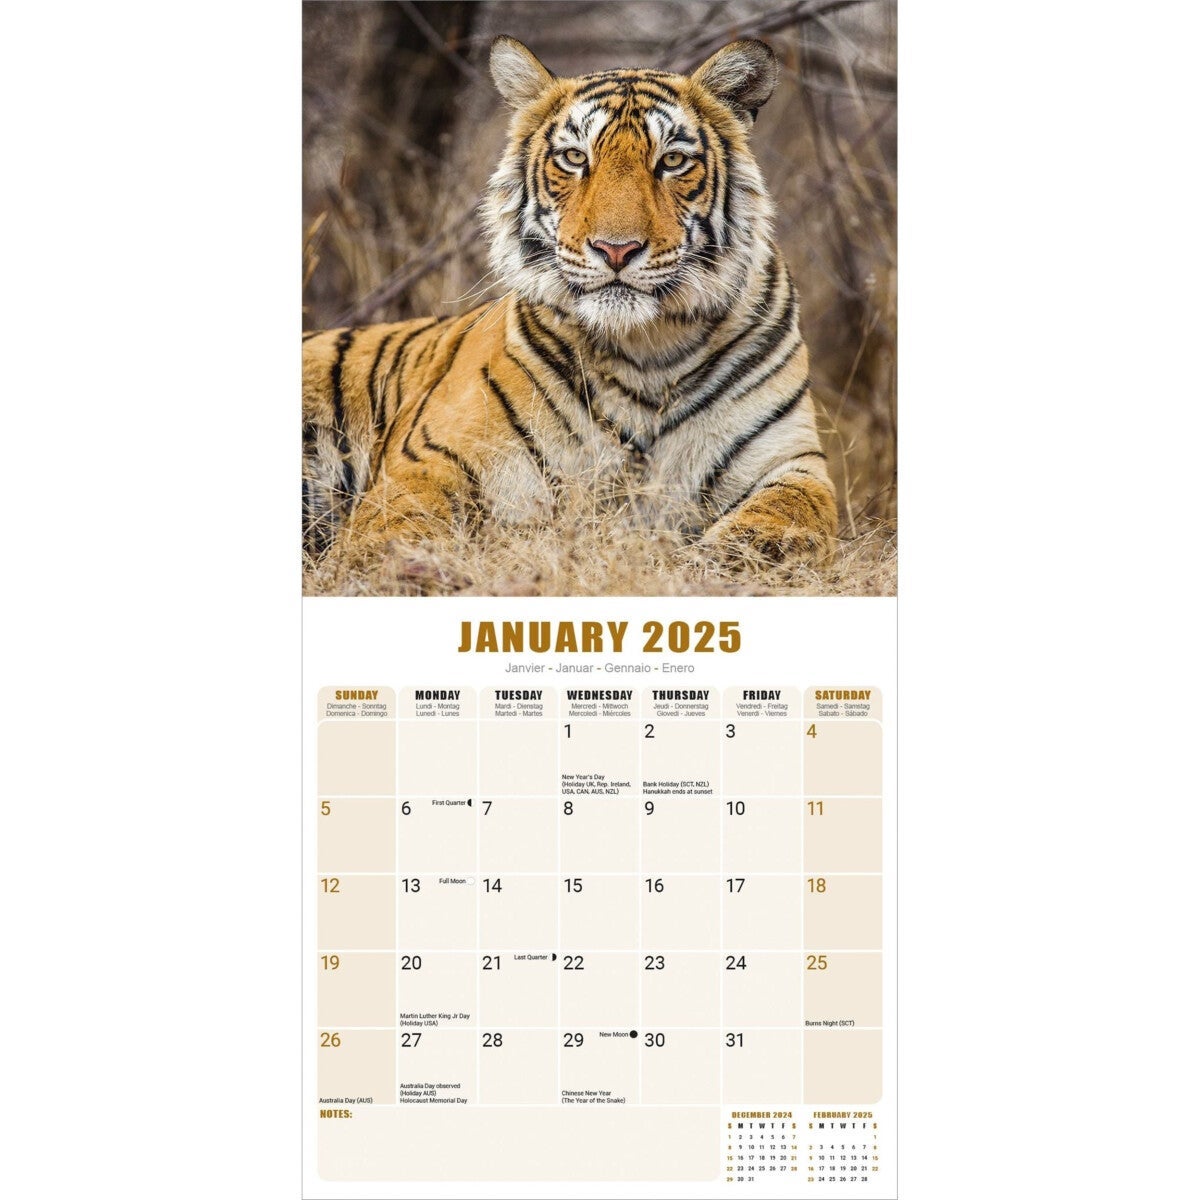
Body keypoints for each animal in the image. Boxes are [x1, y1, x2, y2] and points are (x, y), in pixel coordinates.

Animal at [303, 36, 838, 573]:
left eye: (671, 161)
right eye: (575, 157)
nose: (616, 249)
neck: (647, 351)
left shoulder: (791, 460)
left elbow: (790, 515)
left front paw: (735, 553)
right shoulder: (430, 458)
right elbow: (396, 528)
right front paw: (402, 563)